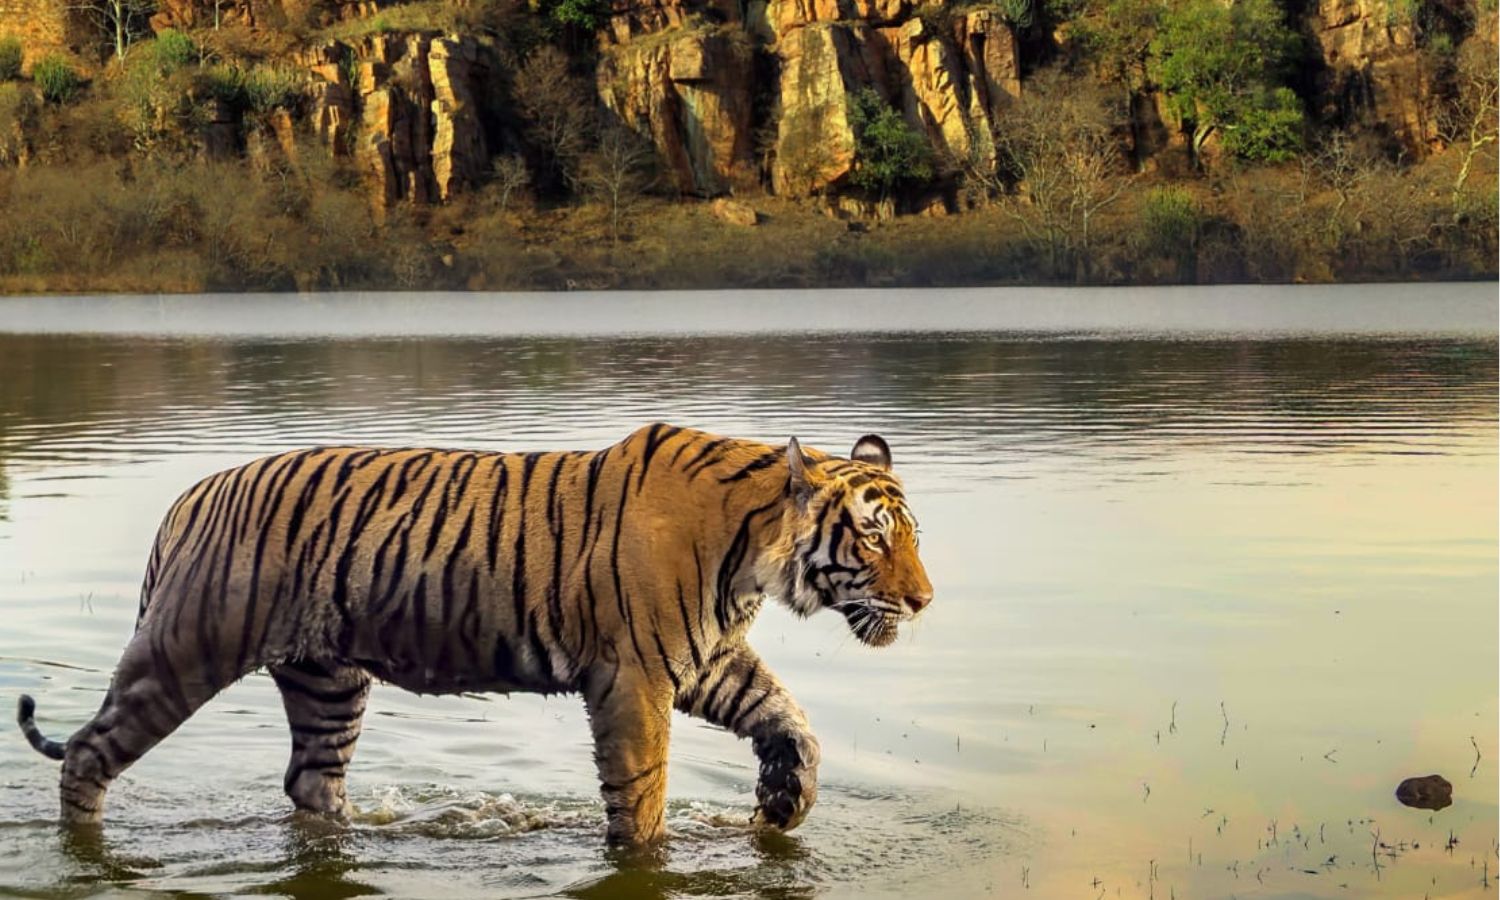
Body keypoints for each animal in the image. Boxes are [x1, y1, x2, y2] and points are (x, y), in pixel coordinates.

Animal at [16, 424, 933, 846]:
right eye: (874, 537)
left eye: (910, 535)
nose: (925, 601)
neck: (756, 557)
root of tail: (190, 494)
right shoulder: (636, 678)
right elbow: (642, 794)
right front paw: (648, 847)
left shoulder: (705, 658)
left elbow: (791, 718)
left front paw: (785, 798)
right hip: (184, 649)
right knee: (91, 750)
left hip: (327, 681)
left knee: (311, 783)